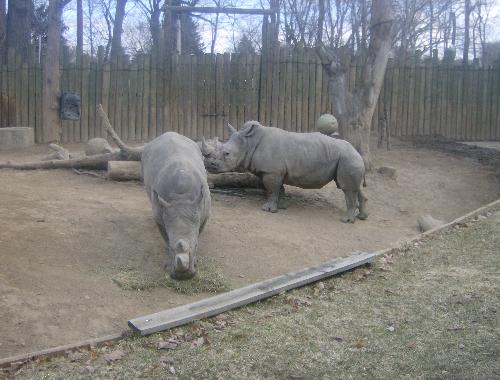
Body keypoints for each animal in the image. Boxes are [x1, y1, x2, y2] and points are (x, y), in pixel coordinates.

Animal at [203, 121, 368, 223]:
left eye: (226, 154)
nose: (209, 164)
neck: (249, 143)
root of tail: (357, 152)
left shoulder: (272, 172)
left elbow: (272, 189)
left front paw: (267, 210)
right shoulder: (276, 171)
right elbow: (279, 189)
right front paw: (282, 206)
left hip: (347, 158)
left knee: (347, 189)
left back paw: (346, 221)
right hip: (348, 158)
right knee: (354, 187)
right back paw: (362, 217)